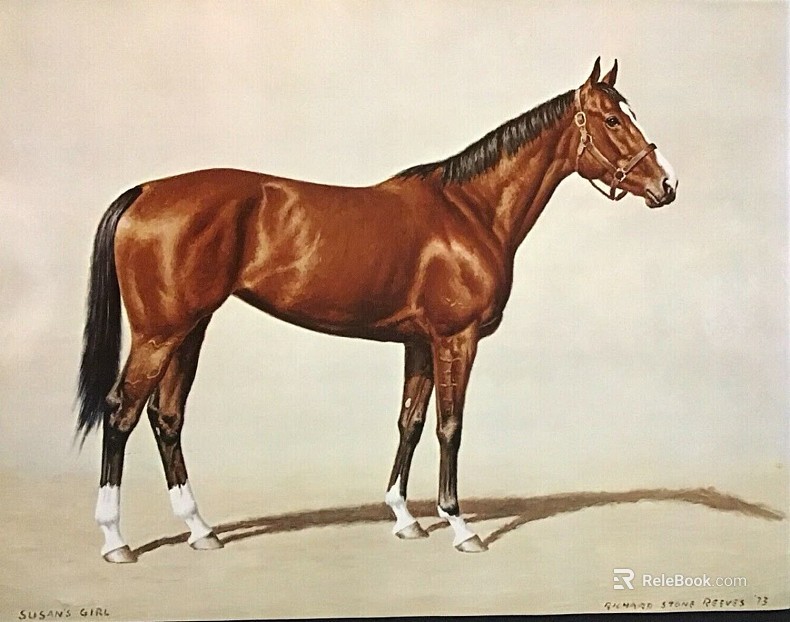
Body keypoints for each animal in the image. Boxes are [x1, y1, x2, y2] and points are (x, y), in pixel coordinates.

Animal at [77, 58, 677, 563]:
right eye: (611, 119)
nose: (667, 184)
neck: (469, 210)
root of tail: (145, 191)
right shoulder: (456, 339)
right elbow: (450, 426)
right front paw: (460, 526)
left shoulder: (418, 343)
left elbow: (410, 422)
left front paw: (405, 517)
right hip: (160, 332)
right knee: (121, 412)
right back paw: (115, 541)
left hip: (190, 329)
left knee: (167, 416)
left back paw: (201, 530)